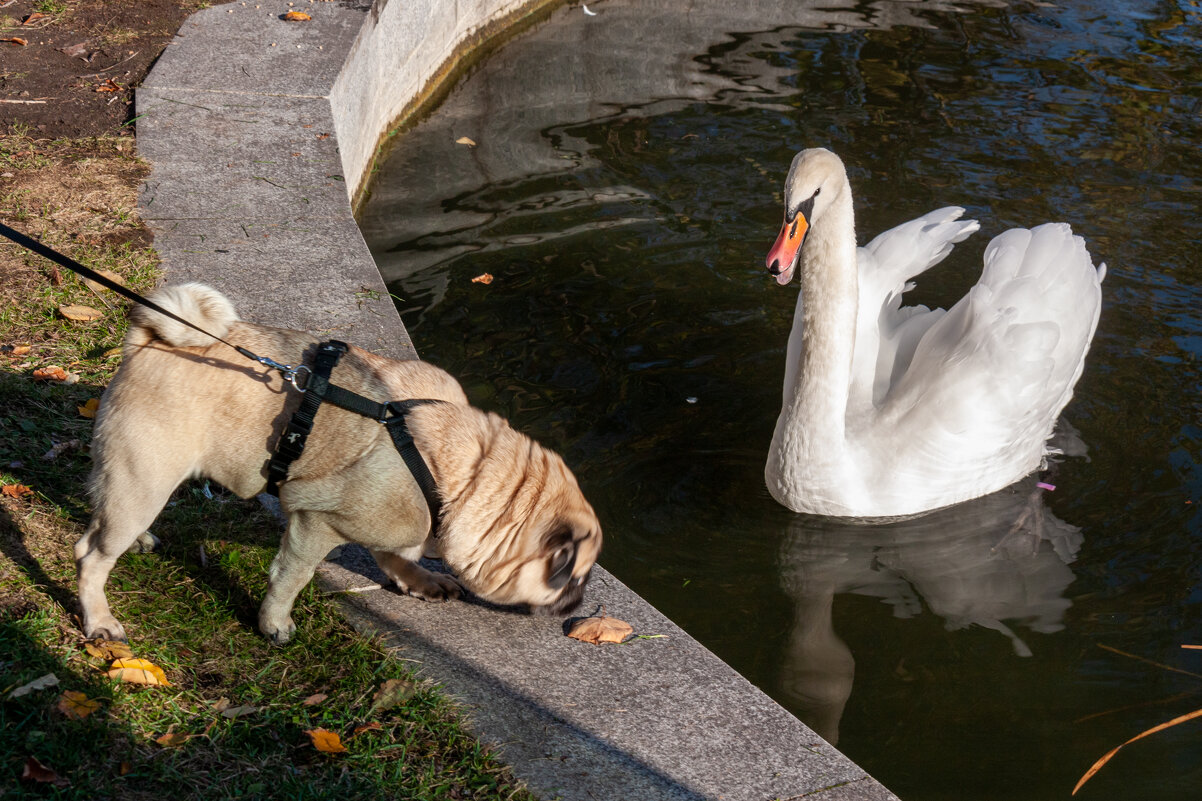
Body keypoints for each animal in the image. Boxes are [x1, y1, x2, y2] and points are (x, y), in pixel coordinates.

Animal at [75, 282, 601, 644]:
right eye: (572, 576)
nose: (580, 598)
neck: (468, 479)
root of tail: (151, 339)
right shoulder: (316, 524)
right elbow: (291, 577)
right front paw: (274, 623)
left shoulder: (396, 526)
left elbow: (395, 555)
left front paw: (421, 580)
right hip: (145, 478)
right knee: (92, 554)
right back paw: (100, 619)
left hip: (137, 481)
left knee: (103, 521)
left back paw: (138, 541)